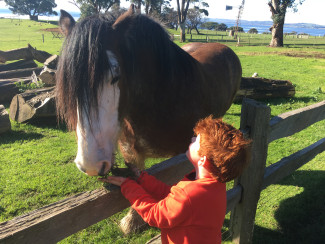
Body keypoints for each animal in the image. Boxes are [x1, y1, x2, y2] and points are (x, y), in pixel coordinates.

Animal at [55, 5, 242, 234]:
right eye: (69, 84)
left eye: (115, 76)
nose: (90, 164)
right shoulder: (130, 150)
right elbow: (138, 177)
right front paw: (133, 220)